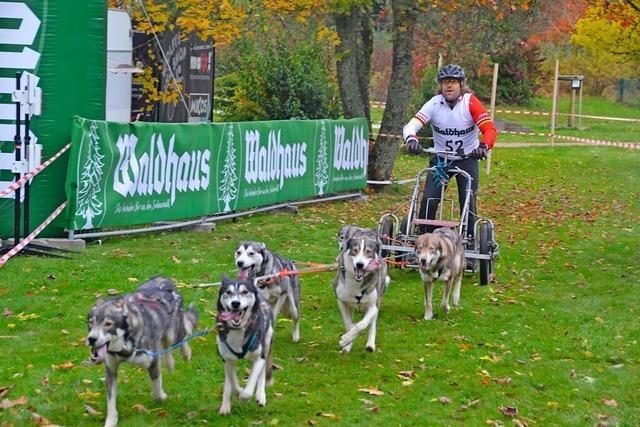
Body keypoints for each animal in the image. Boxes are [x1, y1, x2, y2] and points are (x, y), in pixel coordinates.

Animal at [86, 278, 198, 427]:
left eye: (108, 324)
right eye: (90, 322)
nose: (91, 339)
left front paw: (162, 396)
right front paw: (111, 422)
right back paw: (170, 364)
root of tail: (165, 280)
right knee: (166, 347)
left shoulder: (153, 363)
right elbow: (111, 405)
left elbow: (156, 392)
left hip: (173, 334)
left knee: (182, 334)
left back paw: (186, 353)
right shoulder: (111, 371)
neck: (126, 343)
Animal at [216, 276, 274, 416]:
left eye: (245, 292)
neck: (238, 330)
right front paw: (237, 393)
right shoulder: (227, 359)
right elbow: (232, 382)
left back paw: (261, 396)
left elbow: (250, 387)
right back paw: (225, 405)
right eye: (228, 292)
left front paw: (243, 397)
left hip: (267, 341)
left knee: (262, 372)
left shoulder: (259, 357)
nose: (235, 303)